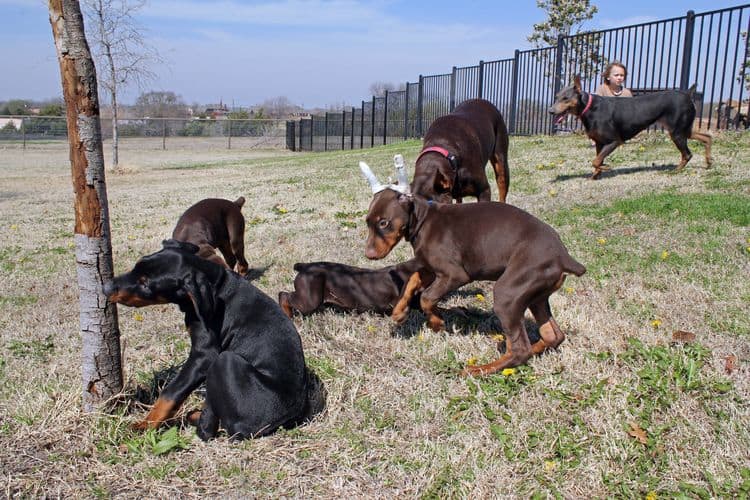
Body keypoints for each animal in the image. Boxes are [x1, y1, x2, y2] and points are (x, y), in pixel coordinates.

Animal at [103, 240, 312, 440]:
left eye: (146, 285)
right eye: (136, 265)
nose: (105, 288)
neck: (217, 284)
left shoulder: (204, 356)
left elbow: (171, 392)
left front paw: (145, 425)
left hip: (224, 359)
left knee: (209, 429)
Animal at [360, 161, 588, 376]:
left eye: (384, 222)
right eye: (368, 222)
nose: (368, 254)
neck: (423, 219)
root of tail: (563, 257)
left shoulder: (455, 274)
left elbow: (426, 297)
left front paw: (436, 323)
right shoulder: (433, 269)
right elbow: (413, 279)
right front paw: (399, 312)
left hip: (508, 293)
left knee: (520, 350)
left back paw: (479, 370)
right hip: (535, 295)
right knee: (553, 335)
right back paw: (533, 350)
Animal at [548, 75, 712, 180]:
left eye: (566, 98)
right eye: (556, 97)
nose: (550, 111)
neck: (589, 108)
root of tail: (687, 94)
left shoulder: (614, 141)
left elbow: (596, 161)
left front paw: (606, 168)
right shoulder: (599, 142)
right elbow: (597, 161)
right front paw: (596, 175)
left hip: (676, 132)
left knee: (687, 154)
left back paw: (675, 170)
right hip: (683, 130)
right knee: (707, 137)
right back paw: (709, 162)